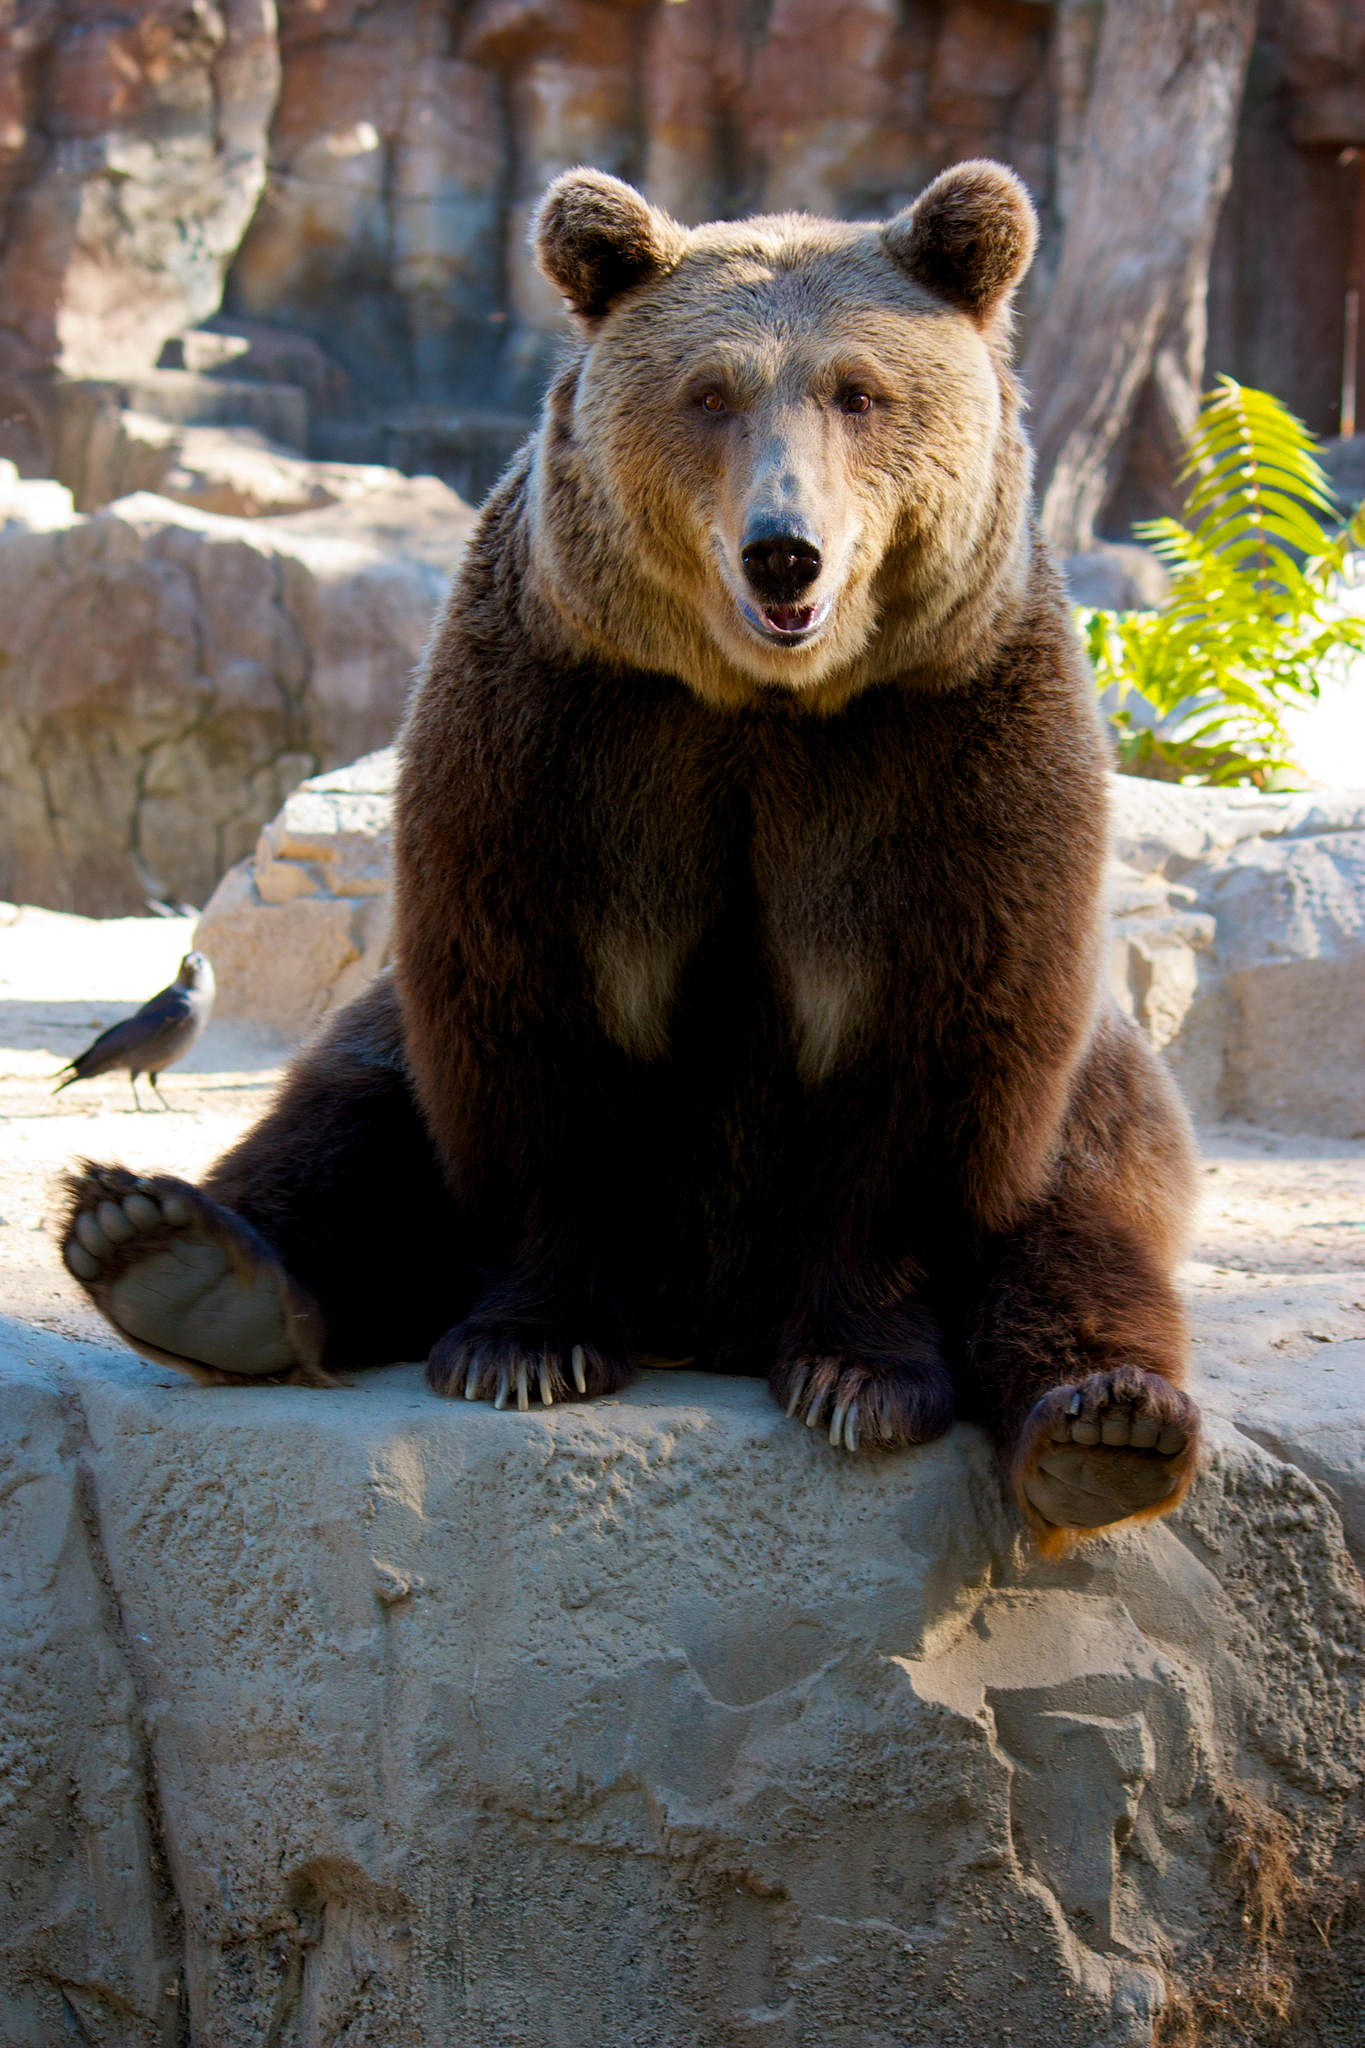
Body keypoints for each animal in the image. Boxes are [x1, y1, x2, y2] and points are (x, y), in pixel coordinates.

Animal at [61, 163, 1203, 1548]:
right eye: (710, 392)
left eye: (859, 390)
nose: (784, 547)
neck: (765, 700)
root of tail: (706, 1316)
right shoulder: (573, 727)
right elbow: (537, 1022)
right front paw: (526, 1344)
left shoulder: (945, 735)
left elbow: (926, 1046)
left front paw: (858, 1374)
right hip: (384, 1030)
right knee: (341, 1123)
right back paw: (171, 1250)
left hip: (1103, 1091)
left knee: (1083, 1224)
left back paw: (1107, 1423)